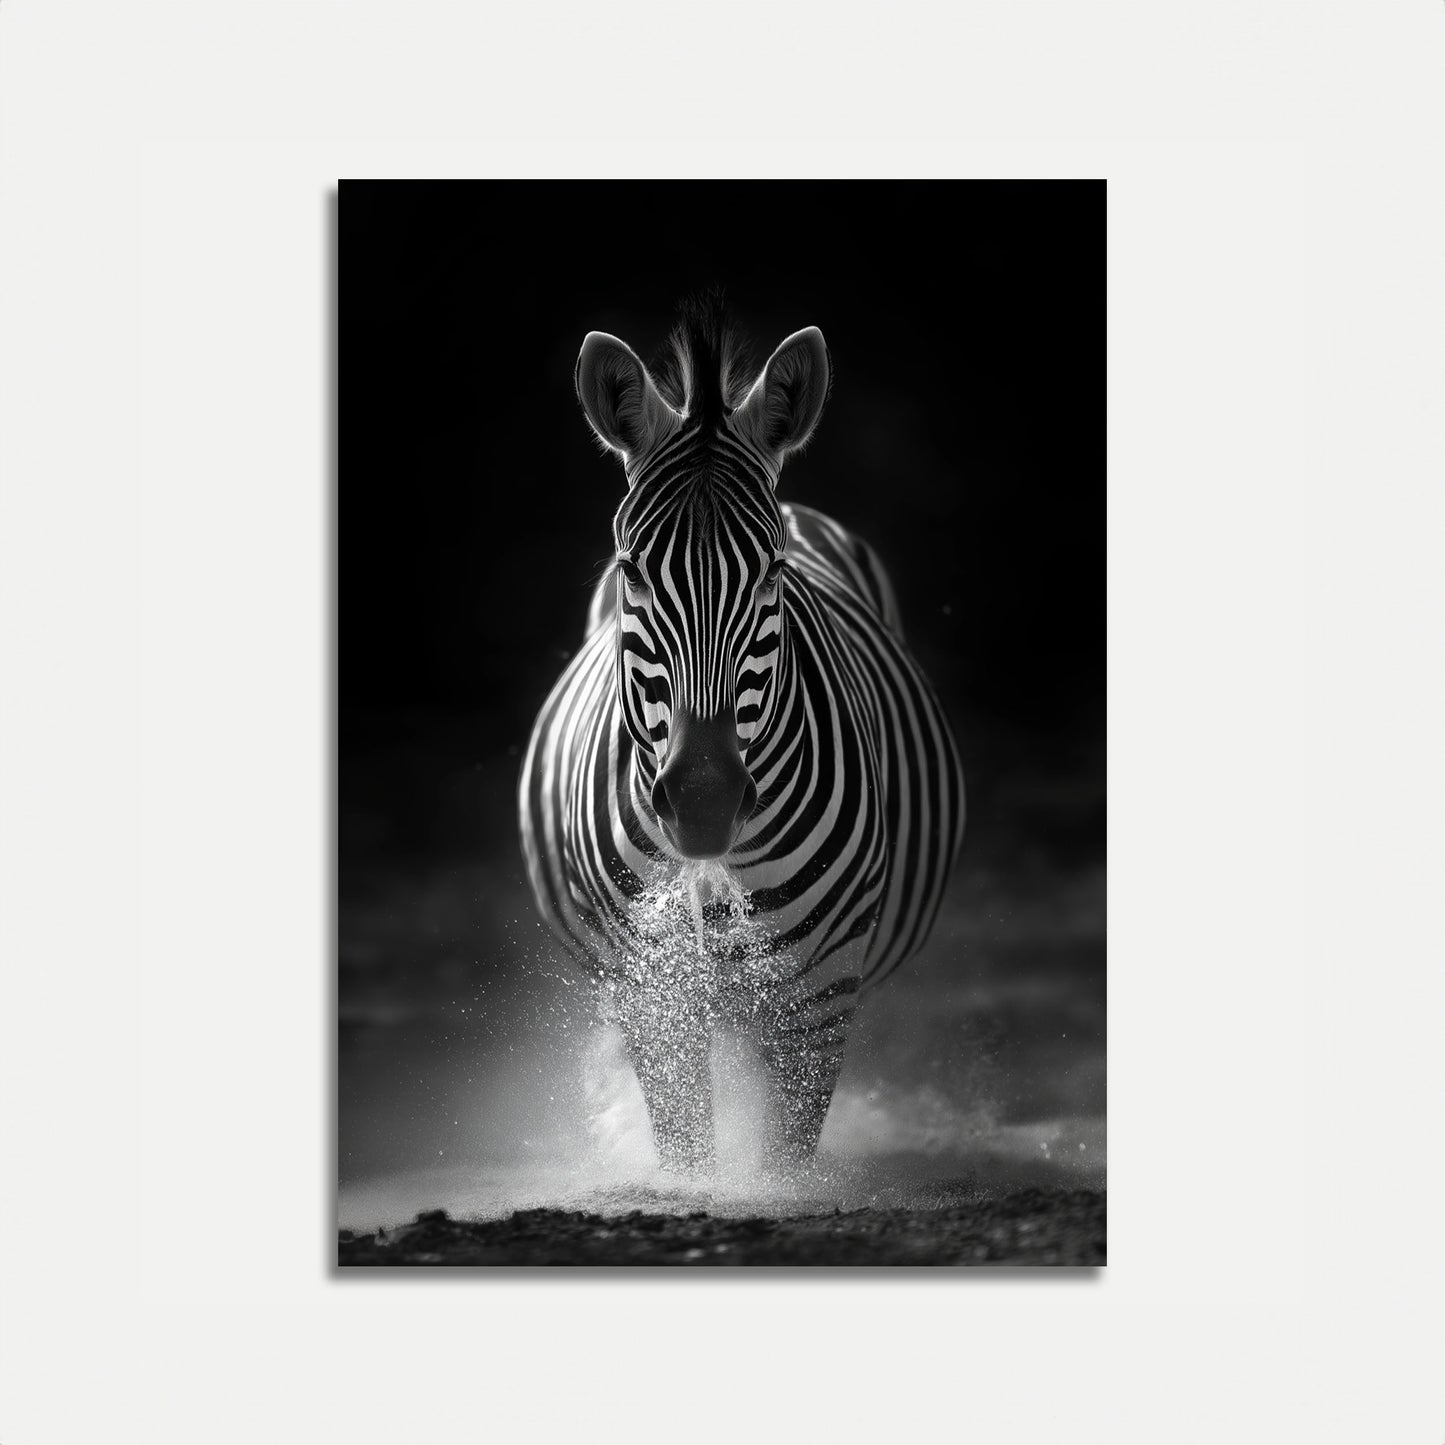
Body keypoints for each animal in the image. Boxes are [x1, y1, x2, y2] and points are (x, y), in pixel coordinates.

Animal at [519, 303, 964, 1173]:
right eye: (631, 570)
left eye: (770, 573)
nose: (702, 804)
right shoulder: (652, 994)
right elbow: (688, 1156)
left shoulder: (818, 995)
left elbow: (784, 1163)